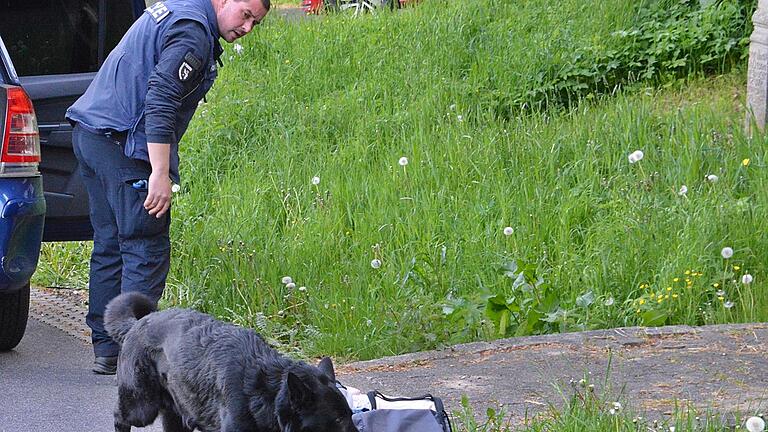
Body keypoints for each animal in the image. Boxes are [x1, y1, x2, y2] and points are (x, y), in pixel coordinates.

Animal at [103, 290, 358, 432]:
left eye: (350, 415)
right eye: (337, 419)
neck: (265, 392)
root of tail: (138, 323)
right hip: (141, 406)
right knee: (119, 416)